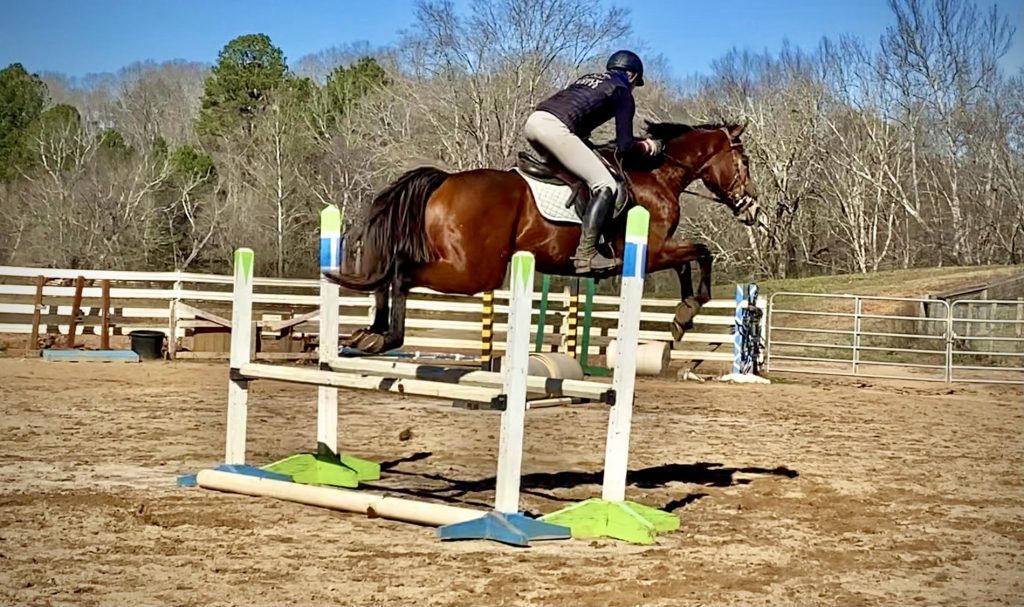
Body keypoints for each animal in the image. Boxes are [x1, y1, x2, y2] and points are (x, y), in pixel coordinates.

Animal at [324, 120, 760, 355]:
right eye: (745, 161)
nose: (752, 209)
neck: (657, 175)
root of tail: (444, 180)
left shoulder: (656, 251)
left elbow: (689, 262)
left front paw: (682, 318)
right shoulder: (649, 252)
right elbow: (700, 253)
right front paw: (688, 311)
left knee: (389, 271)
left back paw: (369, 333)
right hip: (474, 271)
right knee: (400, 270)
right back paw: (387, 337)